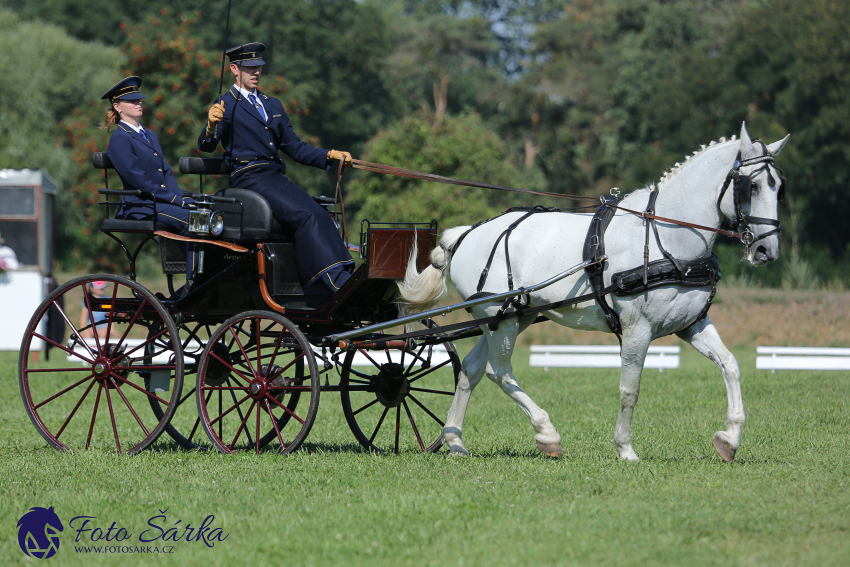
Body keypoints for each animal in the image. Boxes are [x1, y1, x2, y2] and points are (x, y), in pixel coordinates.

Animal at [398, 124, 788, 462]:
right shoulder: (637, 329)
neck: (666, 237)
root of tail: (465, 234)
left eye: (779, 187)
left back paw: (455, 440)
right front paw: (625, 449)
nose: (766, 250)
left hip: (509, 317)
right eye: (750, 187)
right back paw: (547, 434)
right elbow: (630, 389)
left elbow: (731, 365)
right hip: (501, 320)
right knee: (500, 371)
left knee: (472, 369)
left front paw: (729, 439)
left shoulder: (691, 323)